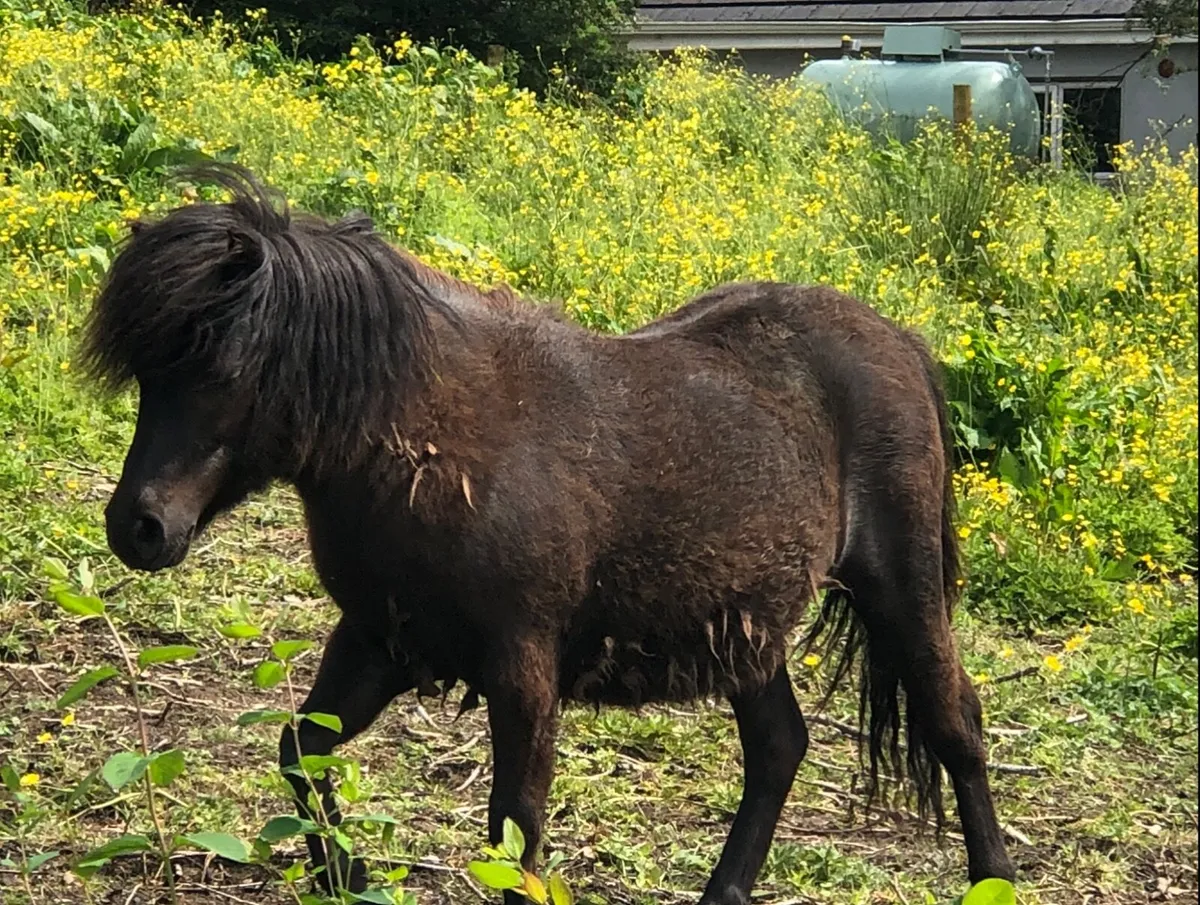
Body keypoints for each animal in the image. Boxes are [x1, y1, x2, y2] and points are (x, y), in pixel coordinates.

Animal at [81, 163, 1014, 903]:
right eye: (147, 371)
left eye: (222, 366)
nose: (139, 526)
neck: (432, 434)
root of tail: (902, 342)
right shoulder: (379, 641)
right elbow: (299, 750)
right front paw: (343, 876)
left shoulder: (522, 666)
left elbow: (515, 828)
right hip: (747, 629)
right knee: (780, 746)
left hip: (901, 592)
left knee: (955, 725)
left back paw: (994, 879)